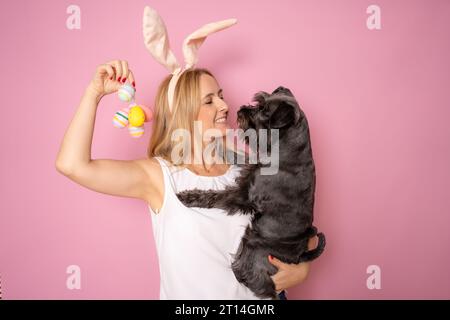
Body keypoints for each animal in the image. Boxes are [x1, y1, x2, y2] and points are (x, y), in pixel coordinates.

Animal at [174, 86, 326, 298]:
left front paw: (189, 196)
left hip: (255, 248)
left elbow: (215, 196)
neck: (288, 150)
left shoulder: (243, 195)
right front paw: (220, 148)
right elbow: (241, 156)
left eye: (264, 111)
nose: (241, 110)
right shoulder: (251, 166)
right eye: (259, 101)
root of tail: (300, 255)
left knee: (260, 282)